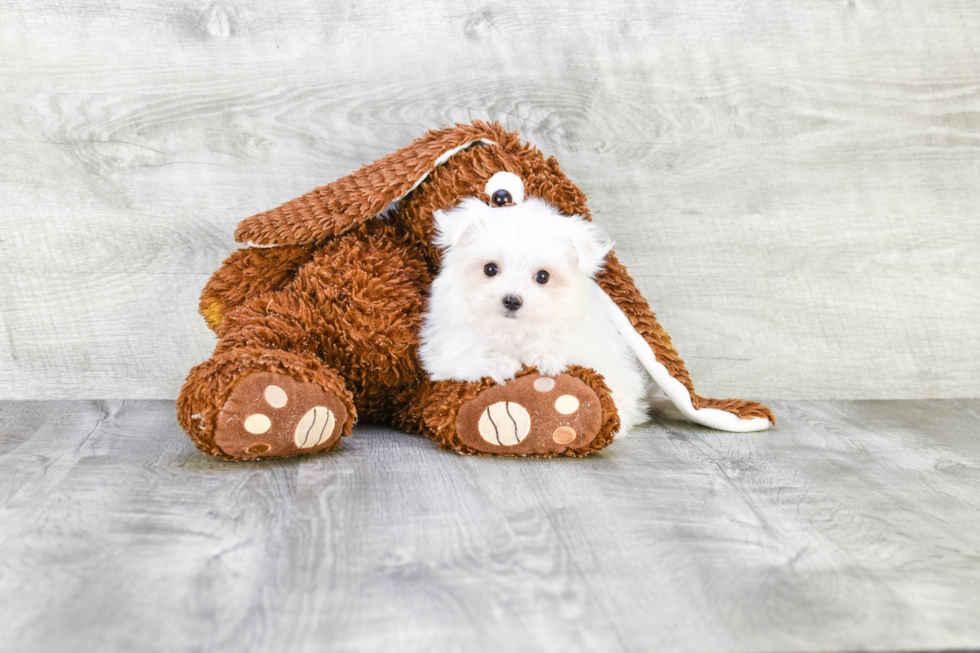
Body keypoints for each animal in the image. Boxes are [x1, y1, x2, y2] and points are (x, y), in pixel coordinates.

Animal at [420, 197, 652, 432]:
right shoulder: (447, 350)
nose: (512, 300)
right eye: (490, 269)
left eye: (543, 276)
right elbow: (468, 354)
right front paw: (499, 364)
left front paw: (545, 357)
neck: (514, 330)